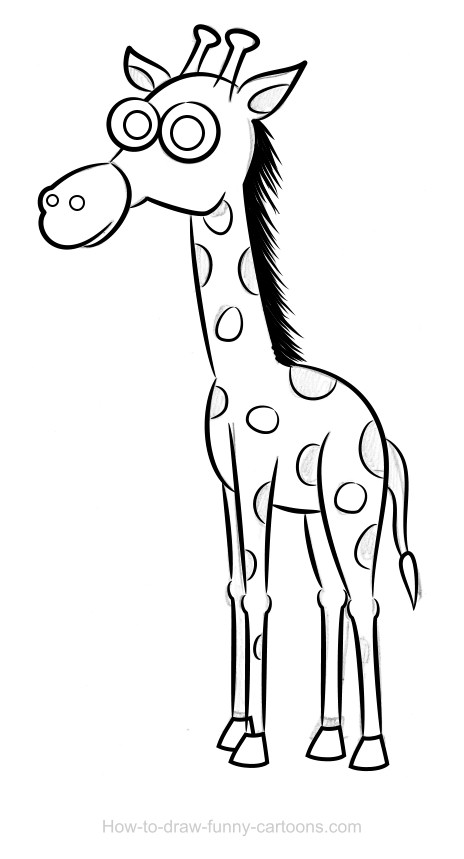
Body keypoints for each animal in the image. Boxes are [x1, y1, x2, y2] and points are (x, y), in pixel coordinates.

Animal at [38, 25, 420, 770]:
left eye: (189, 132)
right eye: (131, 118)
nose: (63, 206)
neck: (242, 371)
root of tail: (381, 433)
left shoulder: (258, 483)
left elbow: (263, 593)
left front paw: (255, 746)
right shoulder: (228, 486)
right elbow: (238, 589)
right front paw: (236, 728)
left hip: (351, 501)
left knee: (365, 596)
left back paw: (369, 748)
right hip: (316, 510)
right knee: (332, 593)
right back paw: (326, 740)